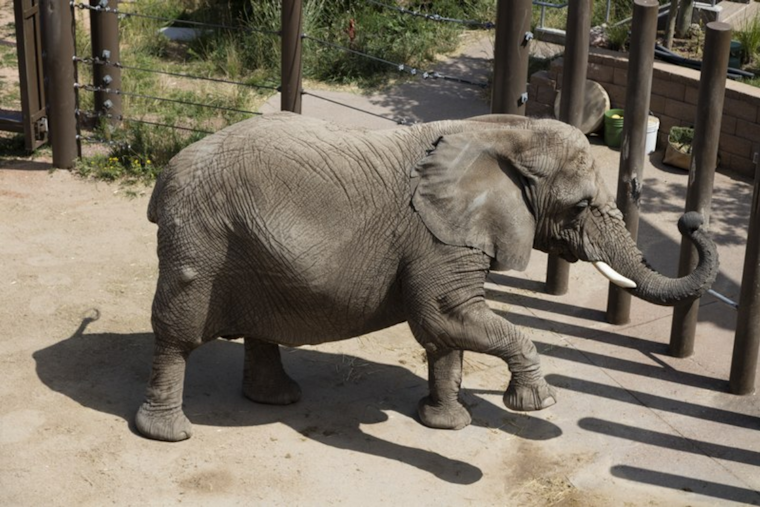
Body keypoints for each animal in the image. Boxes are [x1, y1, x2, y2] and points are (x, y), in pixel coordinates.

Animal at [136, 112, 718, 442]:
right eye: (579, 207)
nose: (690, 221)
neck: (505, 134)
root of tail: (165, 174)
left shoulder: (450, 235)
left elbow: (446, 330)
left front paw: (445, 425)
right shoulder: (436, 235)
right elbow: (441, 314)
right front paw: (537, 401)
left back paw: (277, 399)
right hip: (200, 239)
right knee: (176, 334)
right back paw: (168, 433)